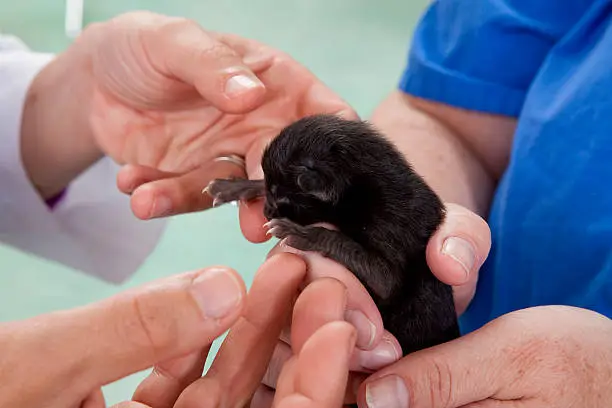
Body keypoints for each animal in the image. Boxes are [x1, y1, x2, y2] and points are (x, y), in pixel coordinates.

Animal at [206, 113, 460, 356]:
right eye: (270, 190)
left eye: (283, 198)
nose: (267, 212)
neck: (363, 185)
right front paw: (235, 187)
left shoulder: (391, 229)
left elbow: (377, 271)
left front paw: (302, 233)